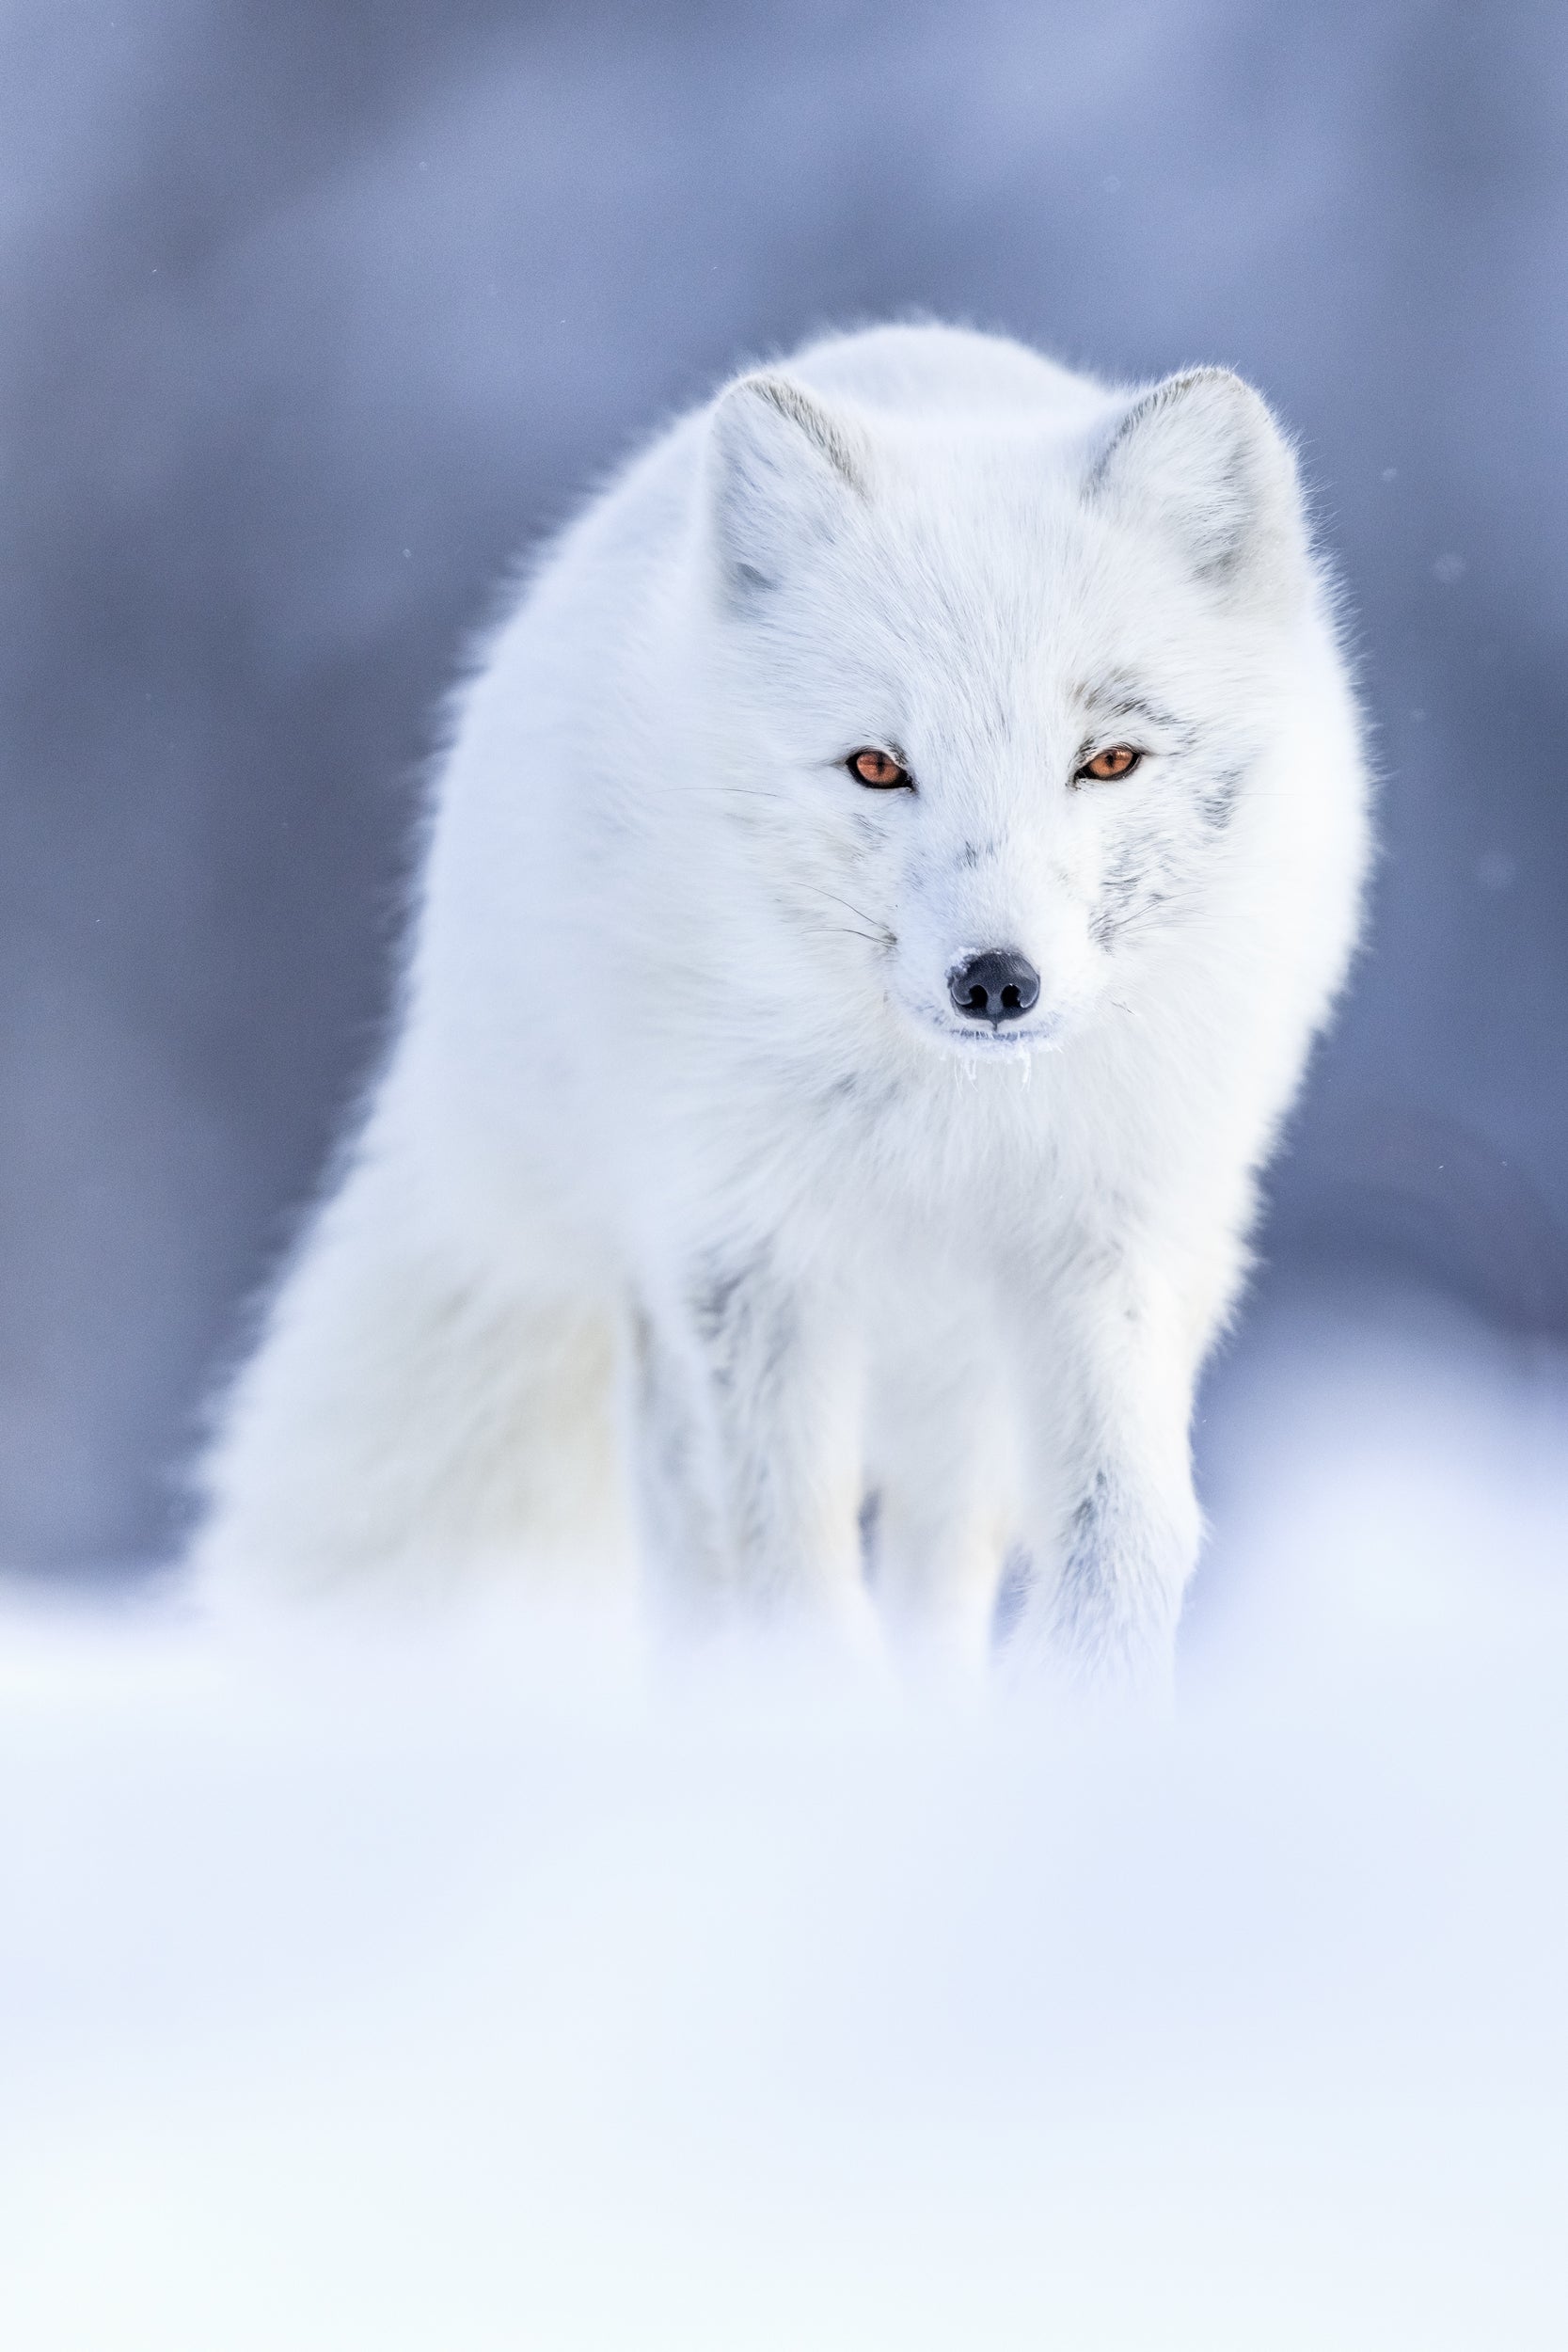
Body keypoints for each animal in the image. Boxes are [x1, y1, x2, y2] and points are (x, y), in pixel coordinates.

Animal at [192, 322, 1370, 1684]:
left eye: (1108, 760)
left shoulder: (1105, 1240)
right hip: (663, 1291)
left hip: (964, 1363)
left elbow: (1121, 1529)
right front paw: (807, 1717)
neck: (949, 1123)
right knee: (692, 1550)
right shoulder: (749, 1255)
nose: (995, 981)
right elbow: (782, 1566)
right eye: (877, 766)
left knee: (938, 1553)